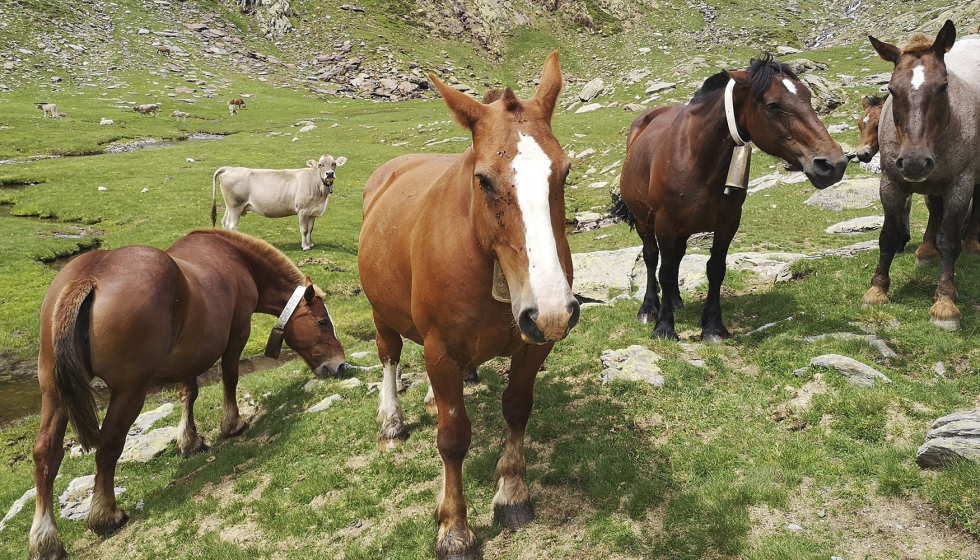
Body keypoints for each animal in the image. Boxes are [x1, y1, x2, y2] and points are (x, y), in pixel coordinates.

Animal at [211, 155, 347, 251]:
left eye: (334, 163)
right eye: (320, 165)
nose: (329, 173)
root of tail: (230, 168)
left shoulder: (312, 211)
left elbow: (310, 229)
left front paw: (310, 244)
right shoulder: (302, 210)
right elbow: (304, 229)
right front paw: (305, 246)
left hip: (230, 206)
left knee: (224, 222)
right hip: (236, 206)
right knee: (232, 225)